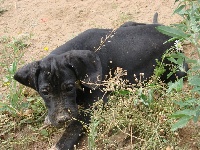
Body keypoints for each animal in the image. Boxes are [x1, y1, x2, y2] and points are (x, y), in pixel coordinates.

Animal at [13, 13, 186, 149]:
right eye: (45, 92)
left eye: (69, 87)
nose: (62, 119)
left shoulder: (96, 102)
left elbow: (76, 125)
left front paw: (61, 144)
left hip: (177, 70)